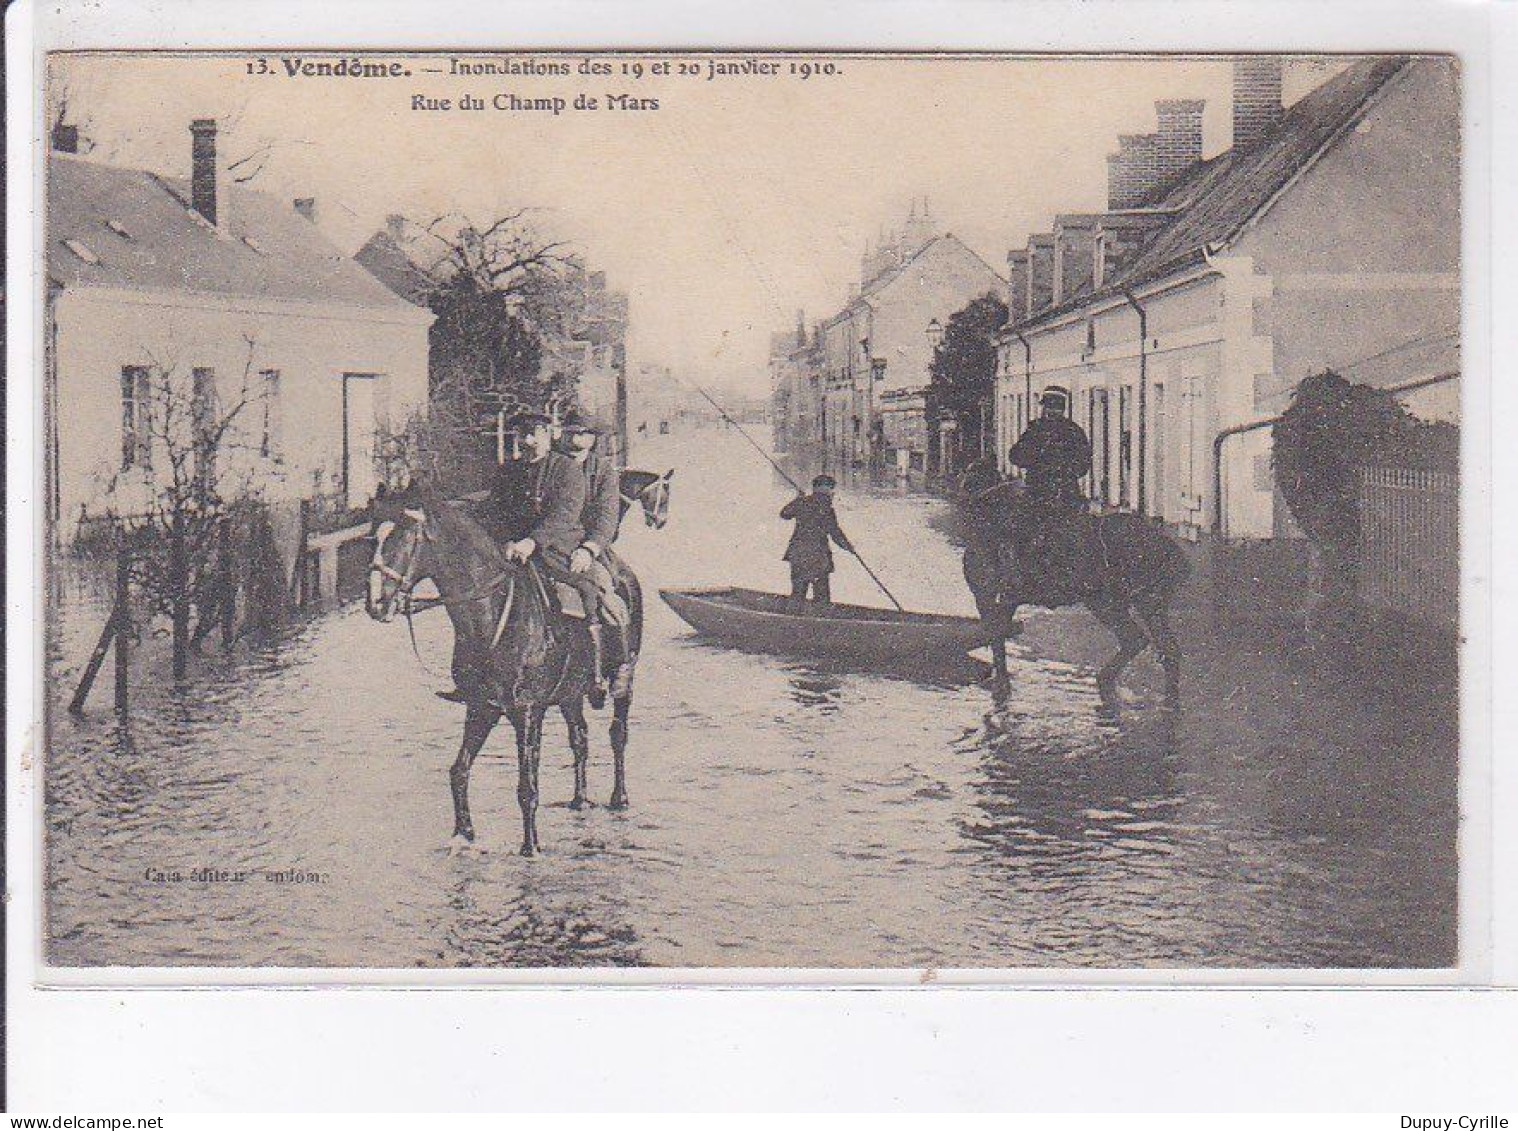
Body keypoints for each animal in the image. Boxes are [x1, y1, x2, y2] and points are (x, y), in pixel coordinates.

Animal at [365, 494, 640, 856]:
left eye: (403, 538)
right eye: (375, 539)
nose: (376, 604)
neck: (493, 614)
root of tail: (624, 573)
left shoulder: (527, 713)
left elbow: (527, 787)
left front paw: (531, 847)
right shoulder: (481, 707)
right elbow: (459, 770)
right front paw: (463, 834)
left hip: (625, 679)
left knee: (618, 734)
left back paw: (619, 797)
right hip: (570, 693)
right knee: (580, 738)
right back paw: (579, 800)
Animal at [959, 479, 1196, 710]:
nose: (1011, 569)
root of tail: (1177, 555)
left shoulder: (1005, 598)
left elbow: (998, 639)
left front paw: (1001, 687)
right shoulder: (985, 598)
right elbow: (995, 640)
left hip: (1112, 602)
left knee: (1139, 639)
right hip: (1142, 603)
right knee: (1164, 647)